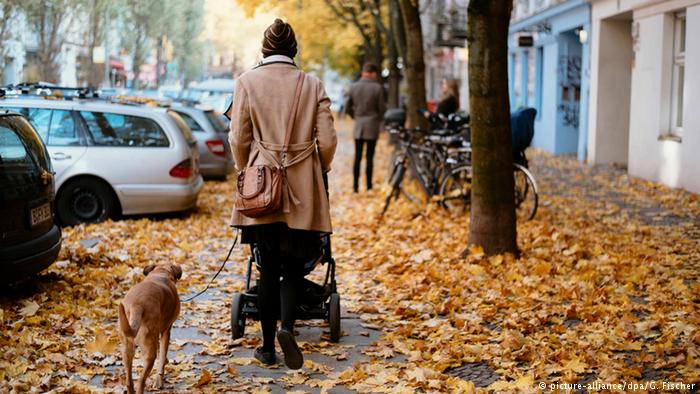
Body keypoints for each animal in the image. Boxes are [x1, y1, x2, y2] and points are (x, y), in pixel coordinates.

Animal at [118, 262, 182, 394]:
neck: (161, 273)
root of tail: (136, 305)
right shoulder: (166, 331)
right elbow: (162, 356)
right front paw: (159, 380)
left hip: (126, 349)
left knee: (129, 382)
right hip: (150, 351)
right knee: (141, 381)